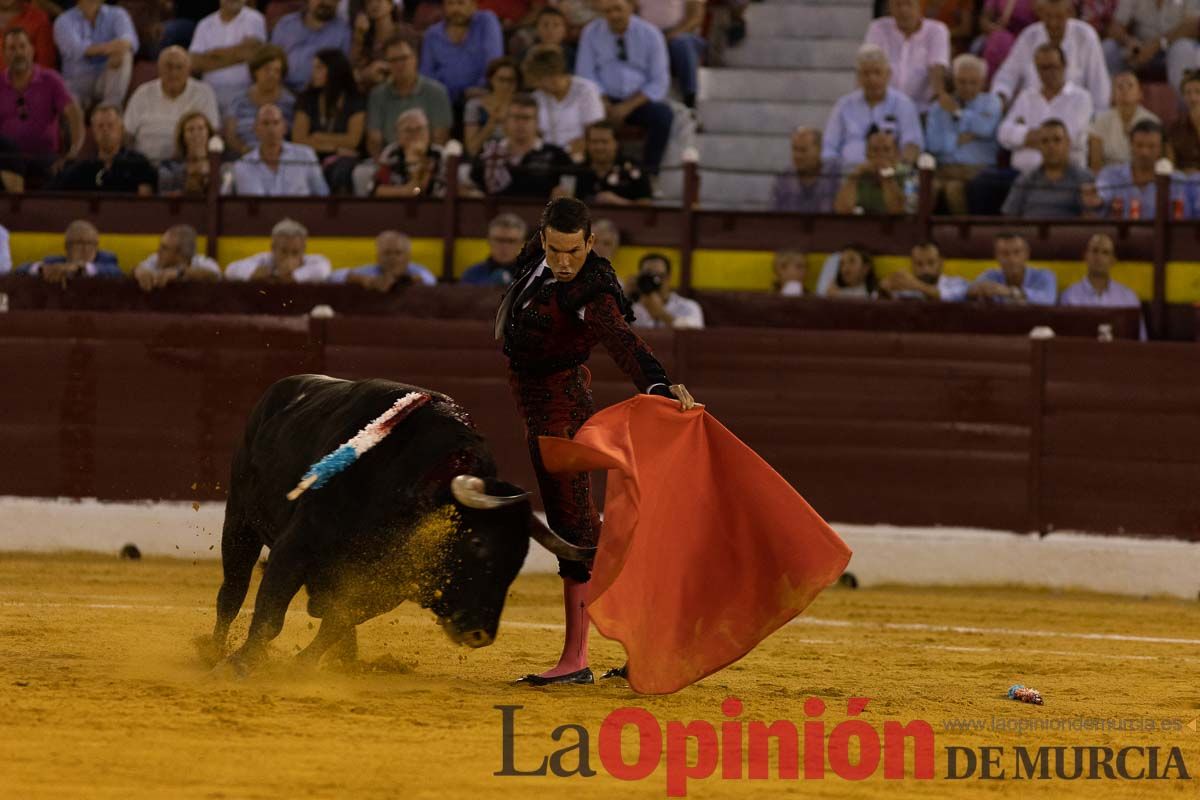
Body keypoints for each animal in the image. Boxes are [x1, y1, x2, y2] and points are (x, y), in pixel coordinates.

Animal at [198, 374, 595, 671]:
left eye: (518, 560)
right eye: (479, 543)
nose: (480, 634)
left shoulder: (388, 583)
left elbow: (339, 620)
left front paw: (301, 666)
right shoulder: (296, 546)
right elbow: (270, 615)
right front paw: (240, 664)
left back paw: (347, 662)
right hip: (240, 521)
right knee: (231, 592)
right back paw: (213, 652)